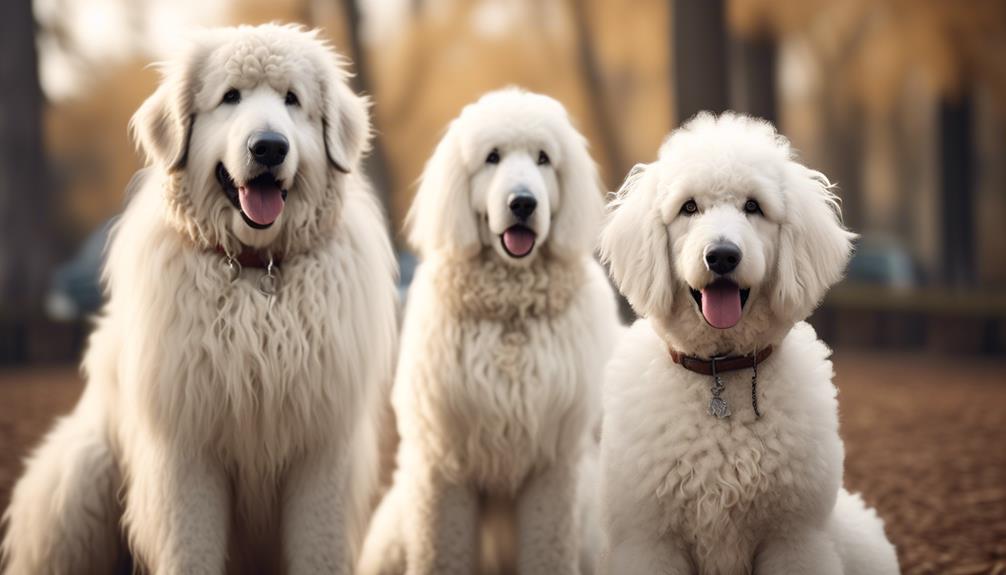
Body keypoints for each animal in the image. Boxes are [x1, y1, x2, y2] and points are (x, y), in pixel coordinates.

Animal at [2, 23, 396, 575]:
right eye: (230, 97)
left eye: (292, 99)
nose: (269, 148)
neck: (256, 270)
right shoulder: (186, 453)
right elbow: (191, 549)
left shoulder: (320, 455)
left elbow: (317, 548)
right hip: (82, 481)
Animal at [358, 88, 615, 575]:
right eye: (492, 157)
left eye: (543, 159)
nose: (523, 203)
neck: (509, 309)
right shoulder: (445, 465)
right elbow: (443, 553)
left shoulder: (551, 466)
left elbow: (548, 551)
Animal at [591, 113, 901, 575]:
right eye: (688, 207)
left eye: (753, 206)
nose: (722, 255)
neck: (721, 371)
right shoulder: (650, 541)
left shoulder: (793, 538)